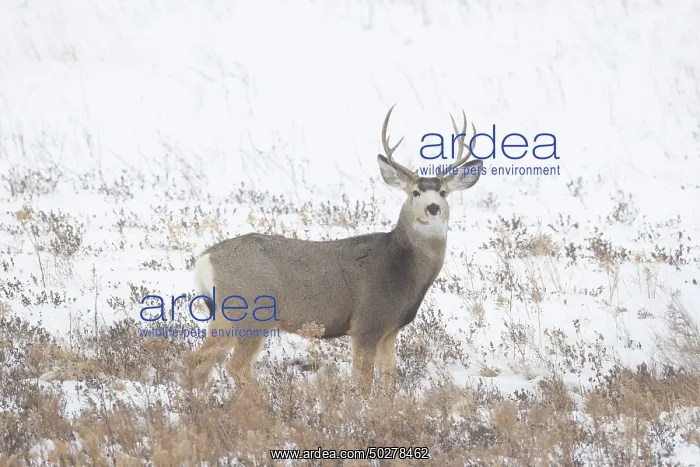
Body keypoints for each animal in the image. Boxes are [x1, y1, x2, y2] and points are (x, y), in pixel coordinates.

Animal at [190, 105, 483, 397]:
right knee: (235, 365)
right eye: (415, 193)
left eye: (443, 192)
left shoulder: (389, 330)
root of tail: (205, 259)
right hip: (253, 312)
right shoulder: (366, 323)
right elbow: (363, 382)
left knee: (200, 359)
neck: (402, 268)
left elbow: (389, 382)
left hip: (226, 315)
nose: (433, 208)